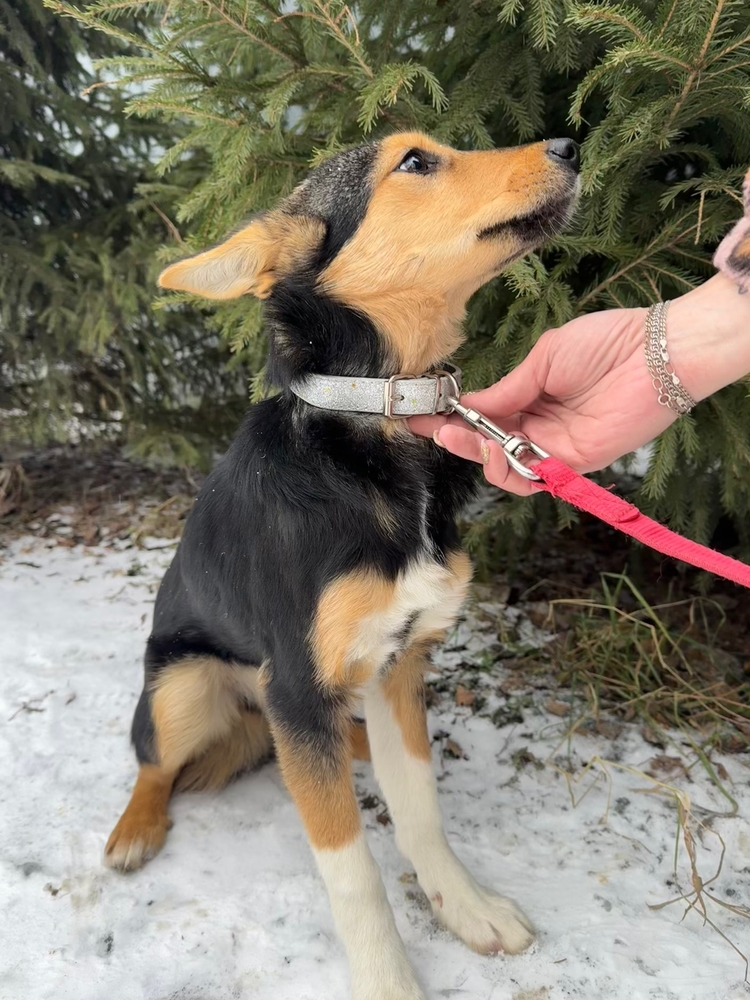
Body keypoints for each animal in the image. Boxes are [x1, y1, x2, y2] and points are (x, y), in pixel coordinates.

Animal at [105, 131, 580, 1000]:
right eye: (416, 162)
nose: (570, 142)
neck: (378, 418)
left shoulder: (400, 663)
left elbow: (421, 812)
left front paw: (465, 907)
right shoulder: (296, 683)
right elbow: (351, 872)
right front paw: (388, 979)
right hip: (186, 683)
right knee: (154, 760)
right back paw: (136, 828)